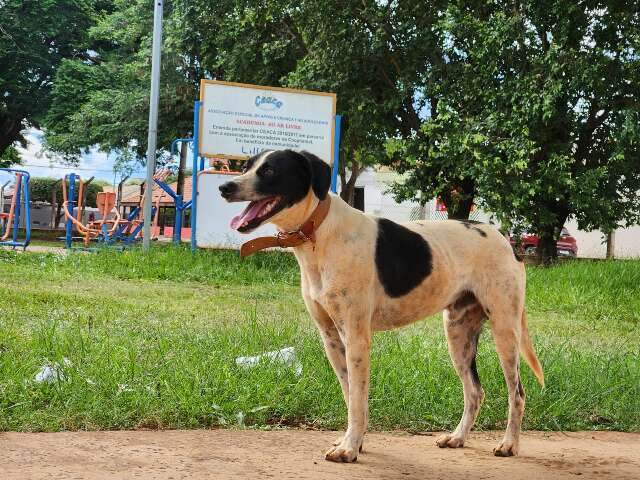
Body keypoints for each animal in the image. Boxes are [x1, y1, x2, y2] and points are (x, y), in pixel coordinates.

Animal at [219, 152, 540, 464]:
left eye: (270, 170)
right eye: (247, 167)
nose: (225, 187)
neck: (319, 234)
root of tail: (507, 242)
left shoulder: (356, 338)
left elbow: (358, 400)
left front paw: (349, 448)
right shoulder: (331, 338)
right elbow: (350, 395)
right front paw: (354, 442)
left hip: (504, 331)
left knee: (518, 394)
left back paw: (509, 444)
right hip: (457, 335)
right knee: (475, 391)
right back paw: (457, 437)